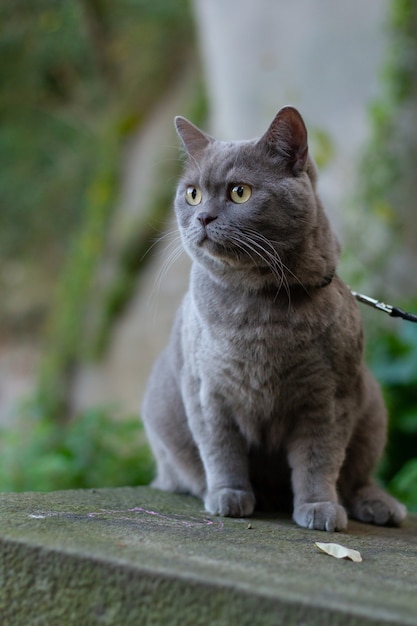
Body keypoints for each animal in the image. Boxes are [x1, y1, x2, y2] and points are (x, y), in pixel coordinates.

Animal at [141, 105, 404, 528]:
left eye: (240, 192)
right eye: (192, 194)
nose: (203, 218)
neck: (263, 309)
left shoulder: (329, 398)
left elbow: (319, 459)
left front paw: (319, 507)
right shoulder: (208, 392)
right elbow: (221, 449)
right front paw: (229, 497)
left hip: (372, 406)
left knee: (357, 477)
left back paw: (379, 505)